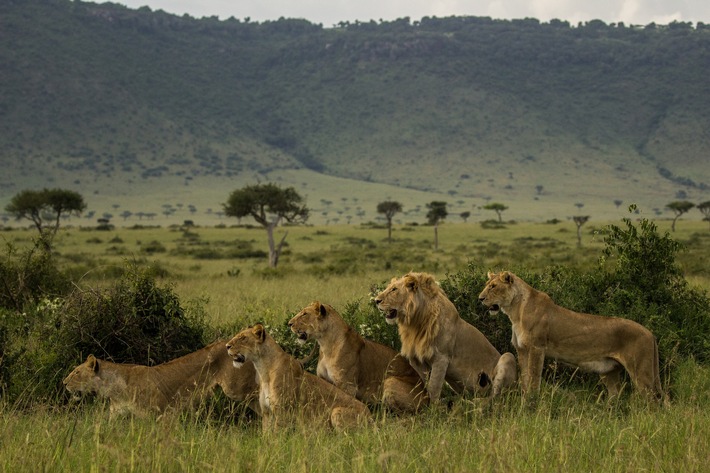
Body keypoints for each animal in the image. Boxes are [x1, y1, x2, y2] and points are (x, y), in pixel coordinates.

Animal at [62, 340, 260, 416]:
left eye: (76, 372)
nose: (64, 383)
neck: (114, 388)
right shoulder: (117, 415)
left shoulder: (161, 413)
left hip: (238, 388)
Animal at [227, 322, 372, 430]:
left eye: (243, 338)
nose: (227, 346)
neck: (263, 370)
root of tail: (371, 417)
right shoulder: (267, 413)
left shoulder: (282, 413)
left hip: (336, 412)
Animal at [288, 300, 428, 412]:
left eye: (305, 314)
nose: (289, 324)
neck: (325, 344)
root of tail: (428, 398)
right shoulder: (323, 379)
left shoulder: (347, 385)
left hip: (390, 380)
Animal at [372, 272, 516, 400]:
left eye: (394, 289)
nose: (376, 301)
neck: (415, 322)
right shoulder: (416, 359)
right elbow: (423, 384)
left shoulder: (441, 358)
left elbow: (433, 388)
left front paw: (433, 410)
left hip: (508, 357)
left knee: (496, 398)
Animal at [478, 272, 668, 400]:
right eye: (487, 284)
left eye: (493, 286)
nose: (480, 298)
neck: (515, 311)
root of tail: (650, 333)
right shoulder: (522, 350)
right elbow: (525, 377)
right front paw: (524, 399)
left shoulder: (537, 348)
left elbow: (534, 378)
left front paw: (532, 401)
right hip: (610, 372)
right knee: (616, 396)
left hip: (642, 372)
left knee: (652, 400)